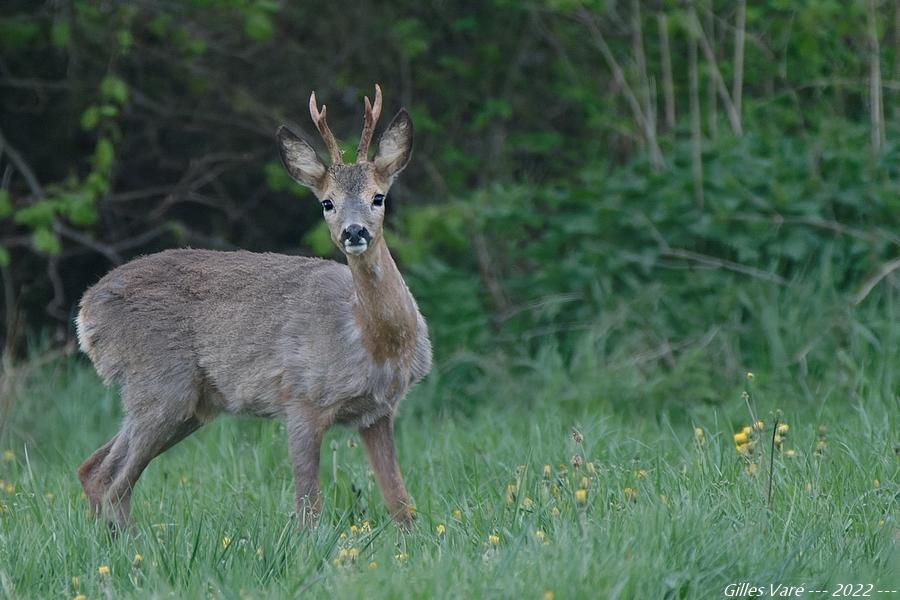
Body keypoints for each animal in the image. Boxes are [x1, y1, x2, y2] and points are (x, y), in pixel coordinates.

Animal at [74, 84, 432, 528]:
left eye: (378, 197)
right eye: (327, 203)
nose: (354, 232)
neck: (375, 339)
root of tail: (86, 313)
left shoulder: (378, 413)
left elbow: (401, 505)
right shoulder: (300, 397)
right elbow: (308, 507)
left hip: (190, 405)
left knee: (93, 469)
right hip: (160, 383)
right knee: (111, 479)